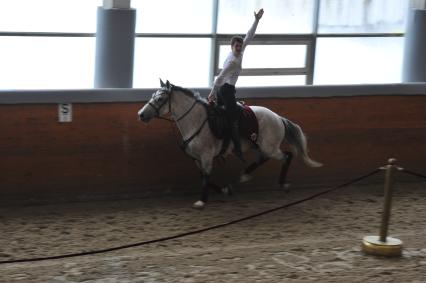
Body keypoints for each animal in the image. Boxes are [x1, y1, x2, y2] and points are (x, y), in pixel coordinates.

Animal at [138, 80, 322, 209]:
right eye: (153, 95)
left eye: (160, 98)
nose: (141, 114)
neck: (196, 120)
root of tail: (278, 118)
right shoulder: (196, 158)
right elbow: (203, 176)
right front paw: (225, 190)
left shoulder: (206, 156)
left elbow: (206, 176)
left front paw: (202, 201)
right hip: (260, 146)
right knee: (263, 158)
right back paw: (245, 175)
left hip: (270, 147)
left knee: (286, 156)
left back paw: (283, 184)